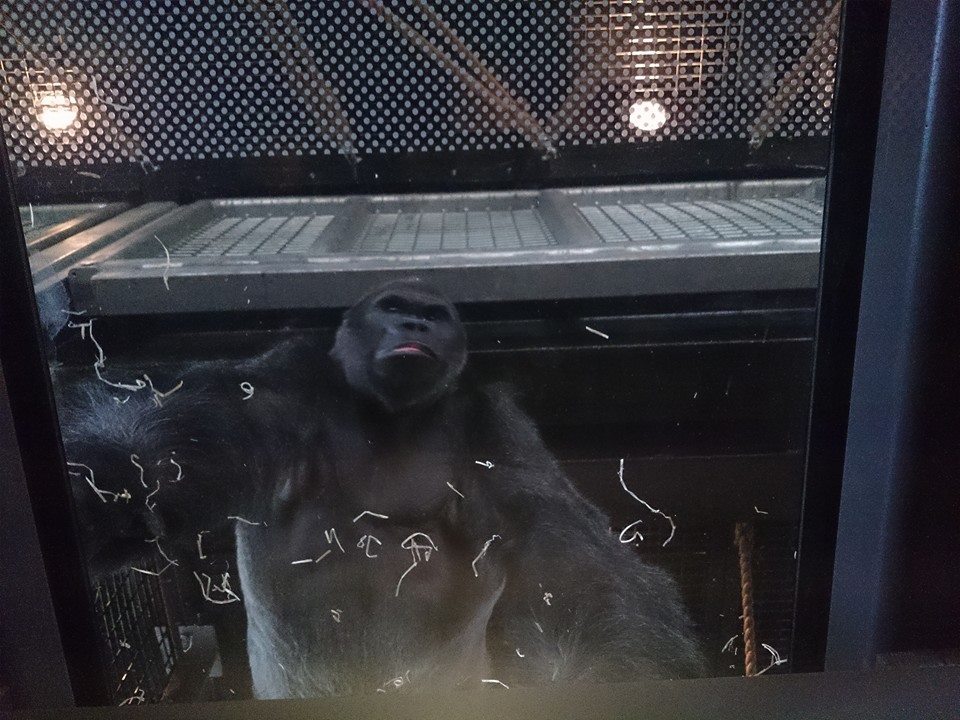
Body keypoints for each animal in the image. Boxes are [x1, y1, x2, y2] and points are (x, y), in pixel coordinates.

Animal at [58, 279, 703, 699]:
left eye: (433, 315)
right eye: (394, 307)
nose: (414, 325)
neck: (391, 416)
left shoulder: (497, 434)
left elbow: (576, 578)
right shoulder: (283, 384)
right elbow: (148, 452)